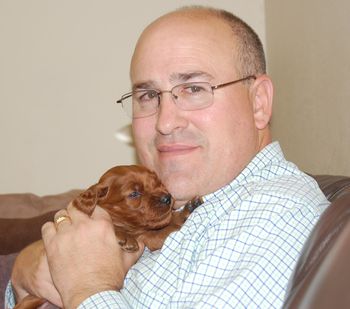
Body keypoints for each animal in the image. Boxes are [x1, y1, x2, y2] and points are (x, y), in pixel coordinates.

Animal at [14, 165, 202, 306]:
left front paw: (186, 211)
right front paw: (125, 237)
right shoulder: (147, 237)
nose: (167, 198)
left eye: (159, 183)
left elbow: (167, 222)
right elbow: (159, 231)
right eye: (134, 194)